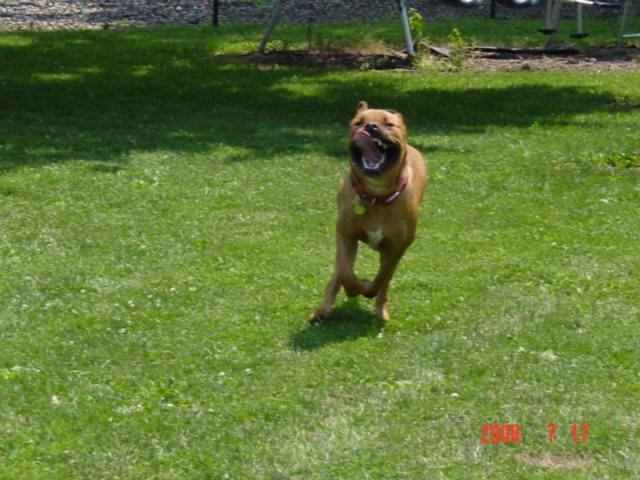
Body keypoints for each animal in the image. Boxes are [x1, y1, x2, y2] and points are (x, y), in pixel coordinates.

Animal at [308, 101, 424, 322]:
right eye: (358, 122)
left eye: (389, 124)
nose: (370, 127)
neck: (376, 196)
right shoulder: (346, 235)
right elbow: (345, 272)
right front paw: (355, 288)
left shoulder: (397, 246)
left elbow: (383, 276)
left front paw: (370, 290)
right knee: (338, 272)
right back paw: (322, 310)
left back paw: (381, 309)